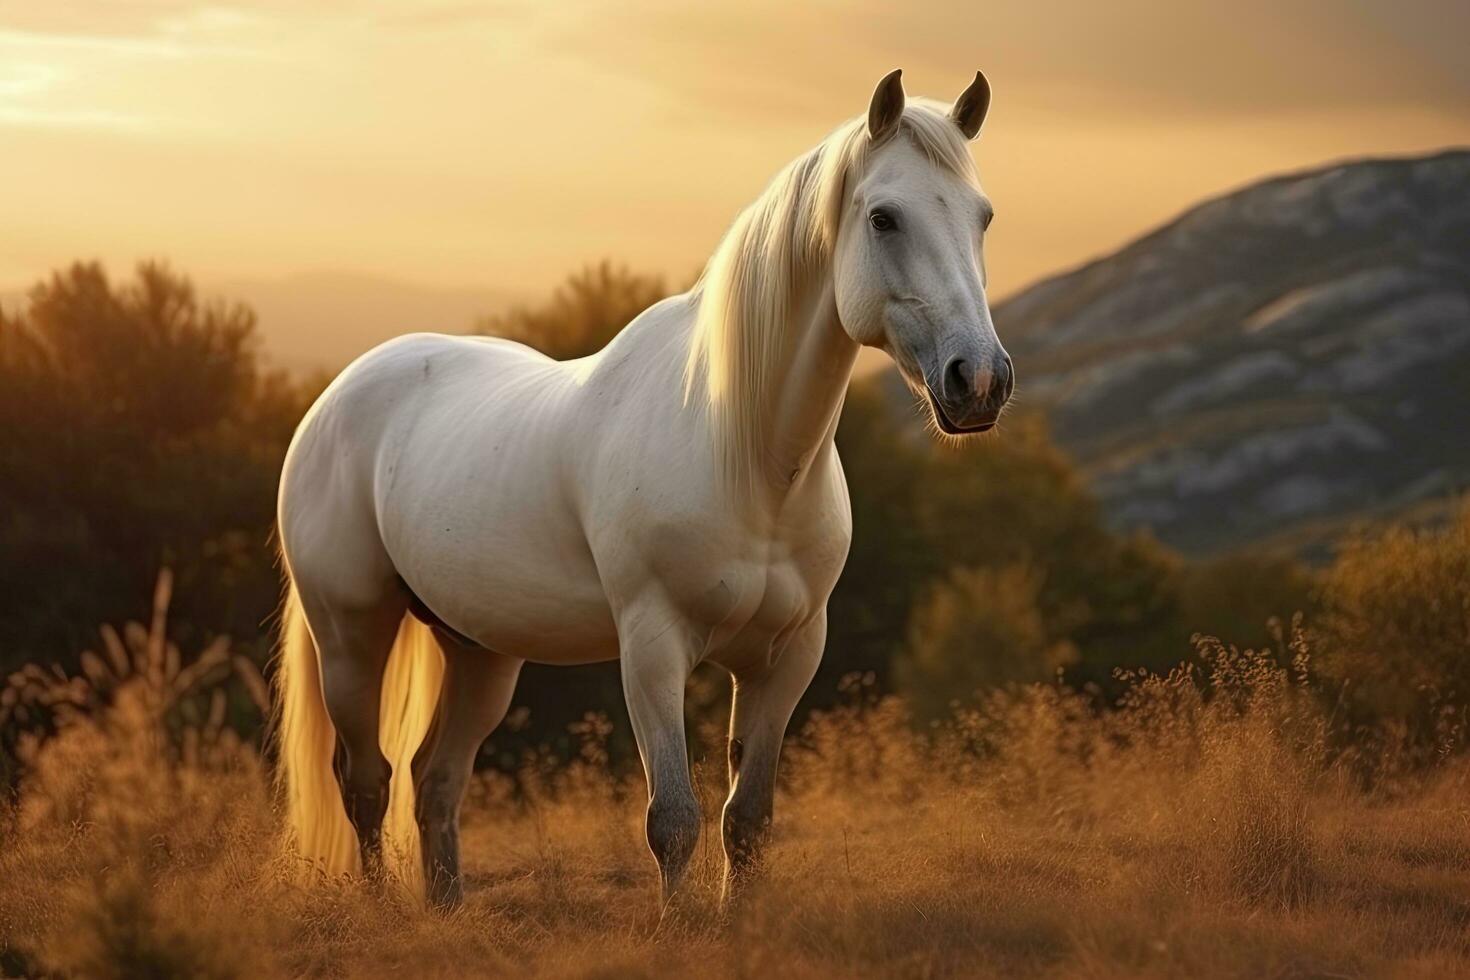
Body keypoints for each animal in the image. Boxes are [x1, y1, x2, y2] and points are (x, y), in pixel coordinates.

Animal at [273, 70, 1011, 910]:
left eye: (983, 217)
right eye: (885, 217)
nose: (979, 382)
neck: (744, 454)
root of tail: (336, 396)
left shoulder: (788, 656)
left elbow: (747, 819)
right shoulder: (653, 646)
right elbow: (674, 820)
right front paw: (673, 925)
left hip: (479, 651)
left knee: (434, 782)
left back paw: (446, 912)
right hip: (351, 633)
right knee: (365, 782)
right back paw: (379, 909)